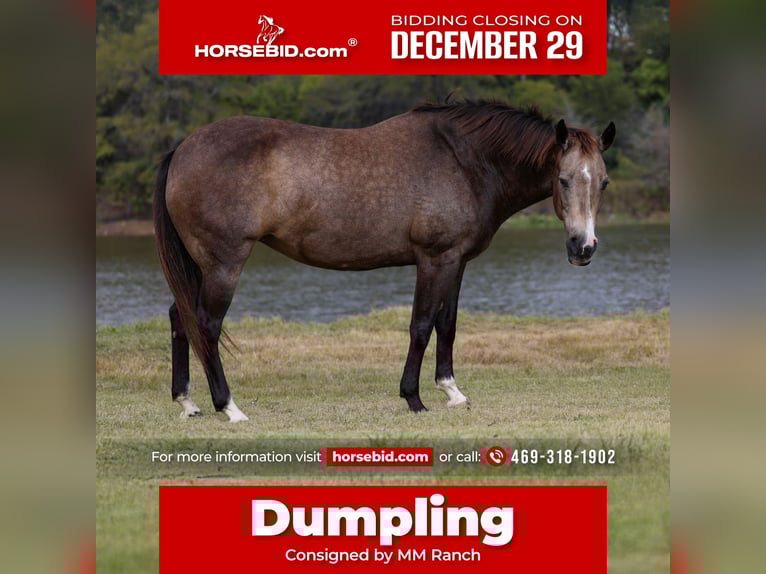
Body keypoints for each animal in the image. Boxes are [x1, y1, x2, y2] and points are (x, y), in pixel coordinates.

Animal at [153, 101, 615, 422]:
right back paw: (229, 407)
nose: (584, 247)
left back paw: (187, 403)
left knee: (180, 317)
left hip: (199, 265)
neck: (465, 161)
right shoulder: (434, 259)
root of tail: (182, 148)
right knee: (207, 325)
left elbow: (448, 324)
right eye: (563, 179)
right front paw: (414, 398)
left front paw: (452, 391)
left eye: (604, 182)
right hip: (223, 264)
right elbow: (422, 326)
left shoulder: (457, 262)